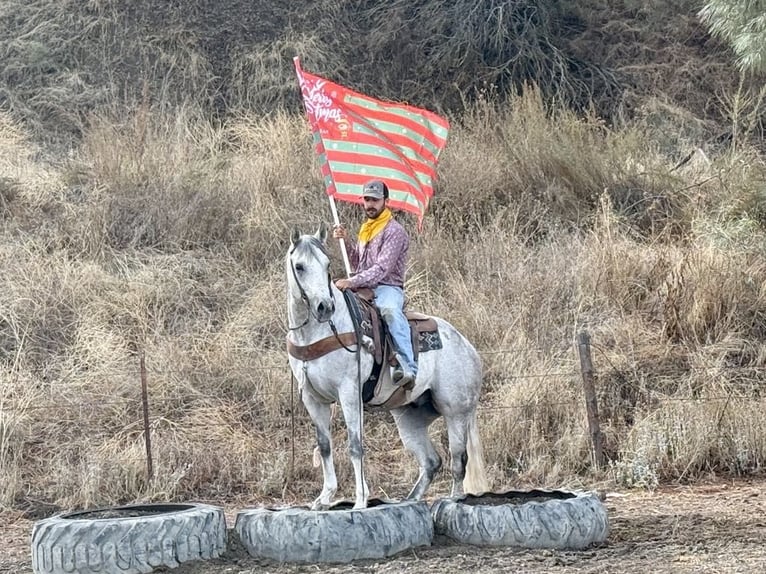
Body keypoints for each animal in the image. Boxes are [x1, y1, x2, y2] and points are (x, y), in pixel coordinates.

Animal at [285, 222, 489, 510]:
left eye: (326, 265)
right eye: (299, 266)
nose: (325, 307)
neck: (319, 331)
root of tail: (469, 348)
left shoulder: (349, 392)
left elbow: (355, 445)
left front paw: (360, 499)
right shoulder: (313, 399)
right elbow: (324, 446)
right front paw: (324, 498)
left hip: (456, 413)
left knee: (459, 460)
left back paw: (452, 498)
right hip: (409, 419)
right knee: (431, 461)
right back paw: (409, 500)